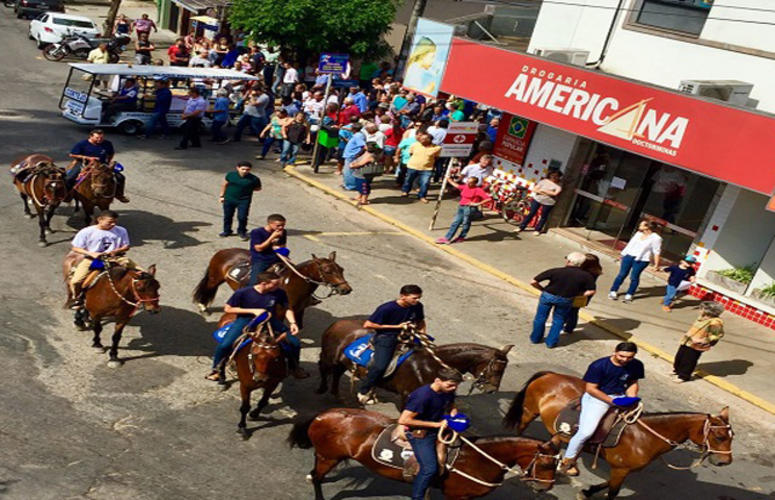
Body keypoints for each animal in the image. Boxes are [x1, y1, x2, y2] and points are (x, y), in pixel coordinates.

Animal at [192, 250, 354, 328]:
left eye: (341, 269)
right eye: (327, 271)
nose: (346, 289)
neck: (292, 284)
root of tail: (223, 251)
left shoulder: (299, 311)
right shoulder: (281, 312)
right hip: (215, 278)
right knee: (208, 288)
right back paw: (203, 307)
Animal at [292, 408, 564, 498]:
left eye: (556, 466)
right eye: (547, 464)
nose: (545, 487)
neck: (478, 458)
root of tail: (323, 414)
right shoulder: (457, 496)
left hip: (328, 456)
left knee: (315, 473)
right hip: (328, 456)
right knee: (317, 477)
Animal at [316, 320, 516, 406]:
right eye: (497, 368)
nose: (492, 390)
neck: (433, 366)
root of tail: (337, 323)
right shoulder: (408, 395)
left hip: (341, 362)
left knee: (337, 374)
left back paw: (338, 395)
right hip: (329, 356)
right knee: (324, 368)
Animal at [504, 370, 732, 498]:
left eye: (731, 437)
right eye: (720, 437)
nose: (725, 462)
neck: (644, 436)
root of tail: (550, 375)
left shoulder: (623, 470)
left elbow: (608, 485)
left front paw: (588, 491)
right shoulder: (620, 469)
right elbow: (613, 492)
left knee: (559, 440)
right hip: (529, 411)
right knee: (521, 429)